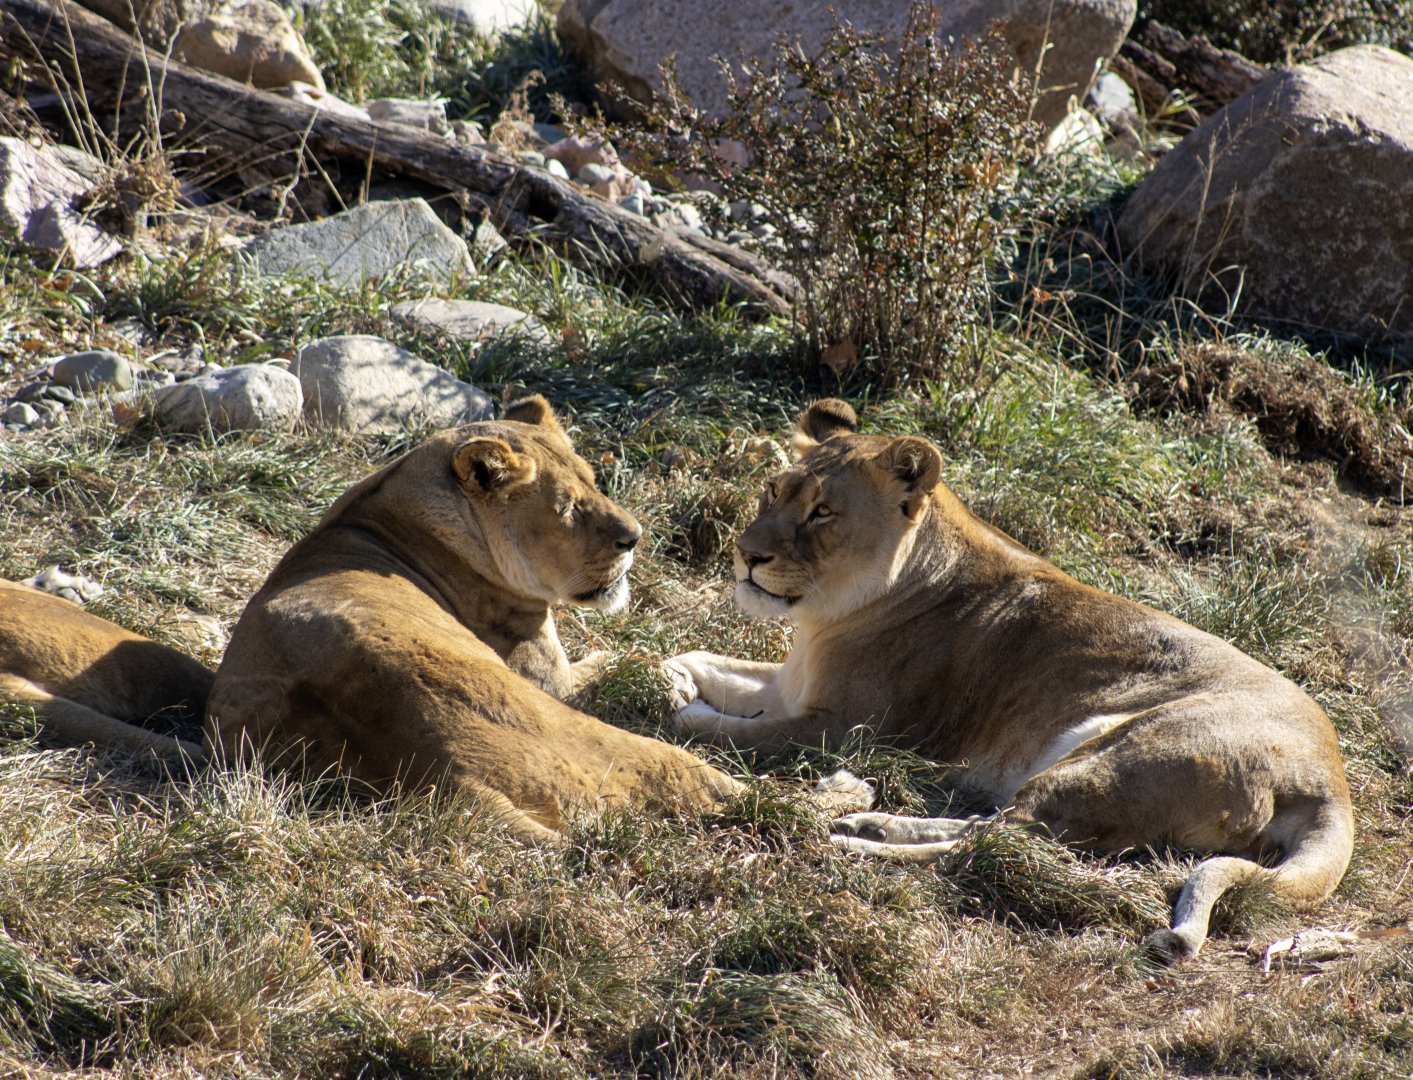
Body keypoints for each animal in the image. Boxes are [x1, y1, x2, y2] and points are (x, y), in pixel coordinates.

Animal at [207, 396, 869, 841]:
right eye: (569, 507)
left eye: (597, 482)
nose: (635, 538)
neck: (398, 513)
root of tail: (432, 766)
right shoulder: (550, 678)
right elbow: (613, 663)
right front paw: (669, 675)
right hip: (605, 737)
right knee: (747, 799)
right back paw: (845, 790)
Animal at [665, 399, 1354, 962]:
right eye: (771, 490)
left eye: (823, 512)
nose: (745, 555)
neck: (824, 617)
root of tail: (1331, 778)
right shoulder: (790, 685)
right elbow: (701, 658)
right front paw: (666, 677)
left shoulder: (844, 729)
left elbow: (737, 736)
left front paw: (674, 714)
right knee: (997, 829)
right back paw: (871, 825)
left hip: (1116, 750)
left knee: (1001, 842)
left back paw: (859, 844)